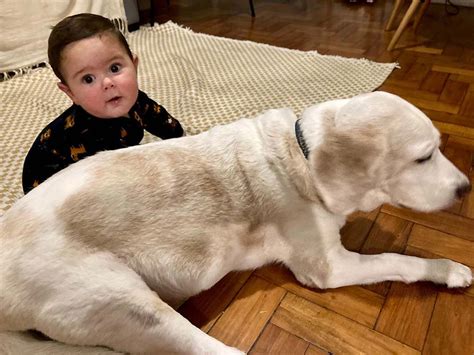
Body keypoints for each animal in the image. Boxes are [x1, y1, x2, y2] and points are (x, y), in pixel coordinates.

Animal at [0, 91, 472, 354]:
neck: (301, 155)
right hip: (125, 304)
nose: (466, 188)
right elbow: (400, 259)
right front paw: (449, 270)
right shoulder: (330, 268)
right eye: (424, 157)